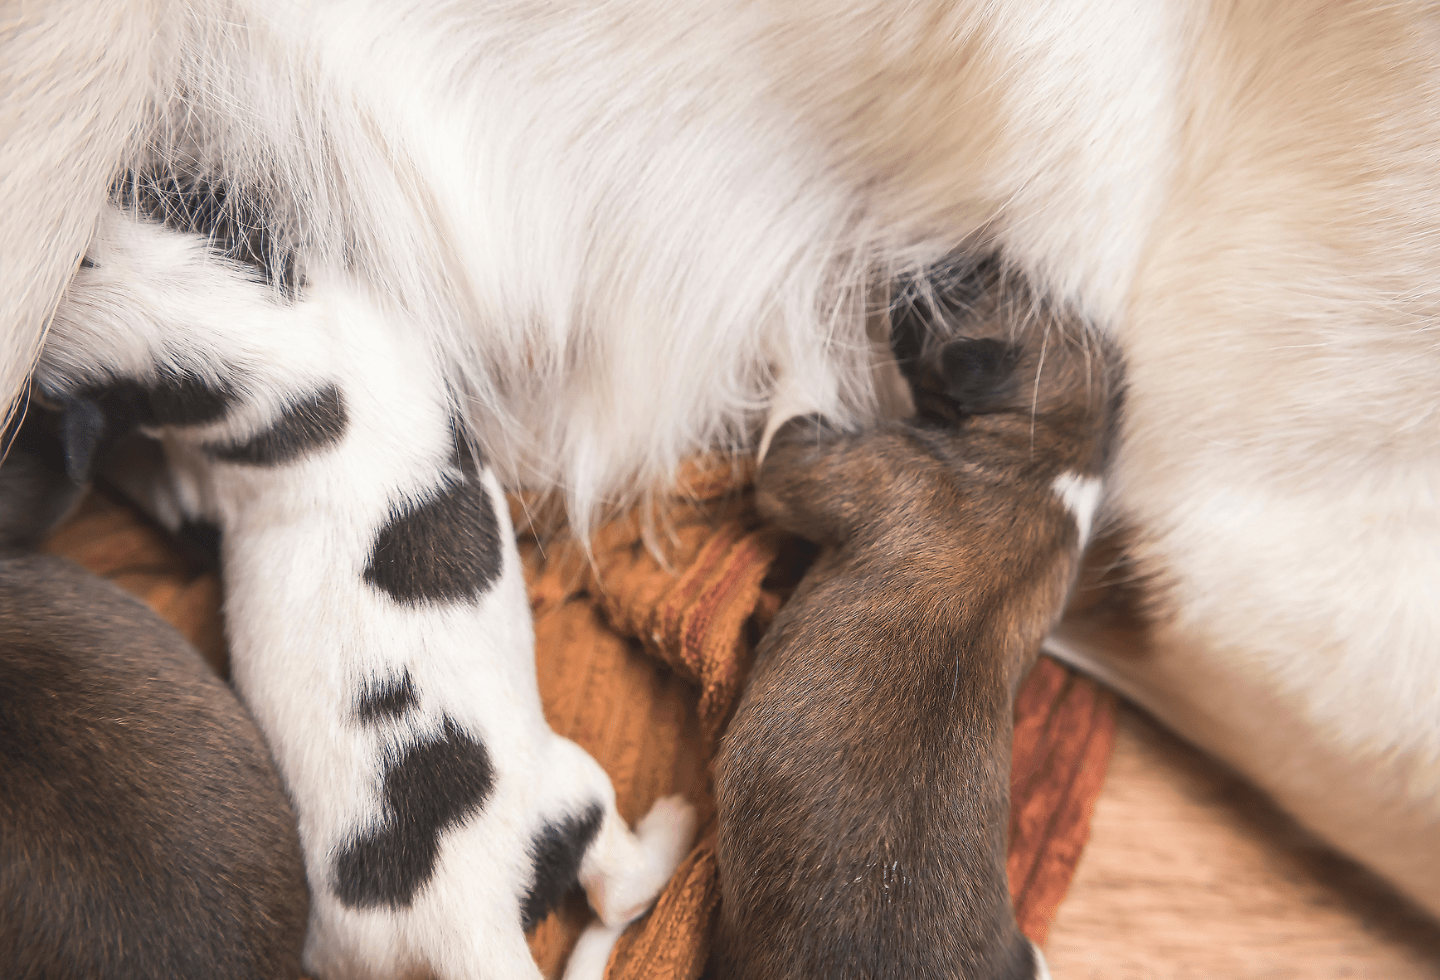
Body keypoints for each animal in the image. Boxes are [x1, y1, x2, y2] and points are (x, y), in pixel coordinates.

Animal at [36, 200, 699, 978]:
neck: (266, 342)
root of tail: (467, 929)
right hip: (571, 788)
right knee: (621, 891)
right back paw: (678, 827)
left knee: (619, 893)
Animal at [714, 261, 1117, 978]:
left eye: (960, 290)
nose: (912, 265)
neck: (1050, 453)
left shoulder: (818, 461)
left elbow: (797, 408)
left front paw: (797, 323)